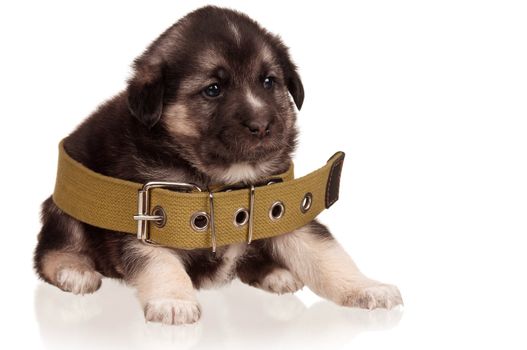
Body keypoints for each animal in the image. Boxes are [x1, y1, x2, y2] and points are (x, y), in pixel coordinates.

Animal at [34, 5, 404, 326]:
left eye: (268, 81)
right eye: (213, 89)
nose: (261, 125)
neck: (222, 177)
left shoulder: (282, 205)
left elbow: (326, 255)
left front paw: (367, 287)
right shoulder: (144, 216)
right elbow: (160, 261)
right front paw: (174, 300)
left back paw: (275, 273)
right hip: (66, 207)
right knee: (51, 250)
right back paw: (75, 270)